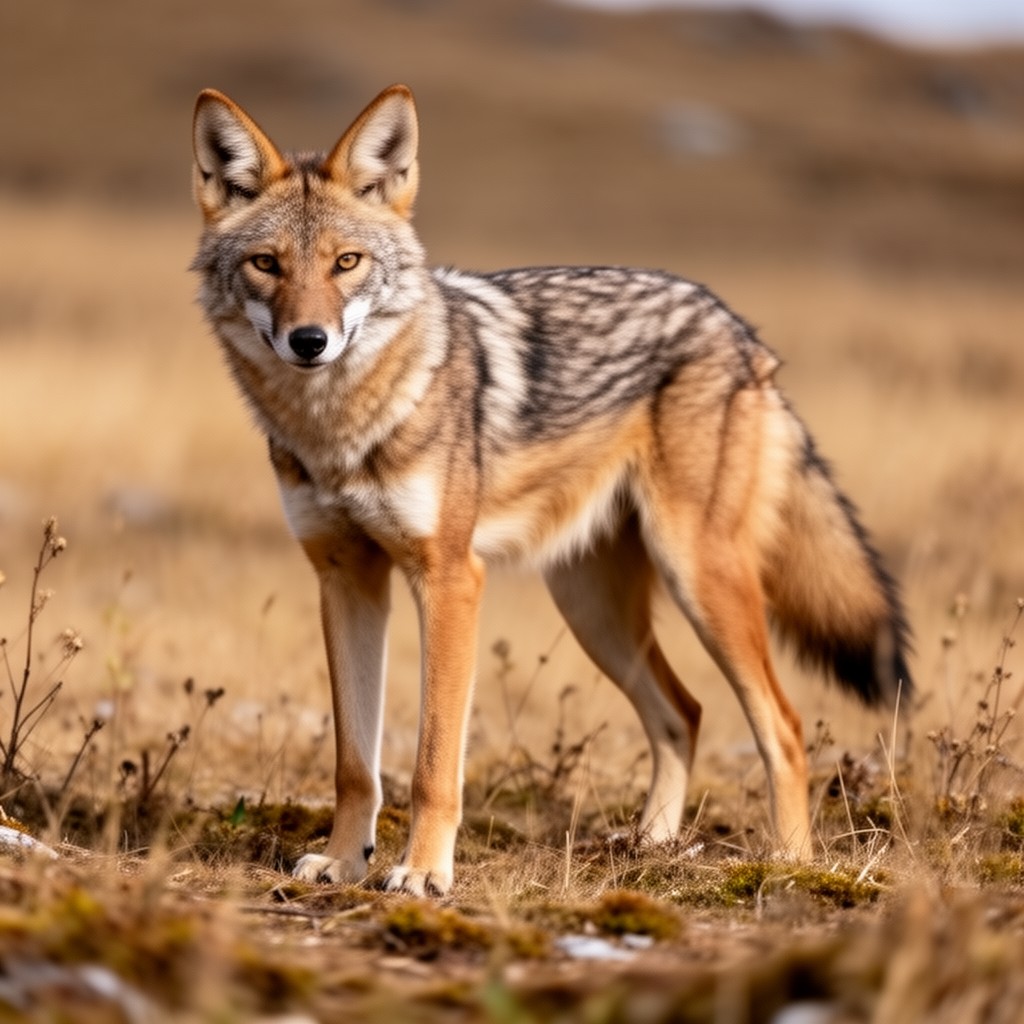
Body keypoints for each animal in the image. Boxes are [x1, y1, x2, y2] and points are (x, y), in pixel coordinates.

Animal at [191, 84, 911, 896]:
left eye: (347, 263)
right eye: (267, 264)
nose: (309, 341)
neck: (340, 428)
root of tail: (739, 329)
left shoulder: (450, 579)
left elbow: (433, 762)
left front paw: (423, 873)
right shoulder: (344, 579)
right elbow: (355, 763)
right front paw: (345, 862)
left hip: (699, 582)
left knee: (781, 727)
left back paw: (788, 865)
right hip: (593, 610)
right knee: (685, 713)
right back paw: (652, 847)